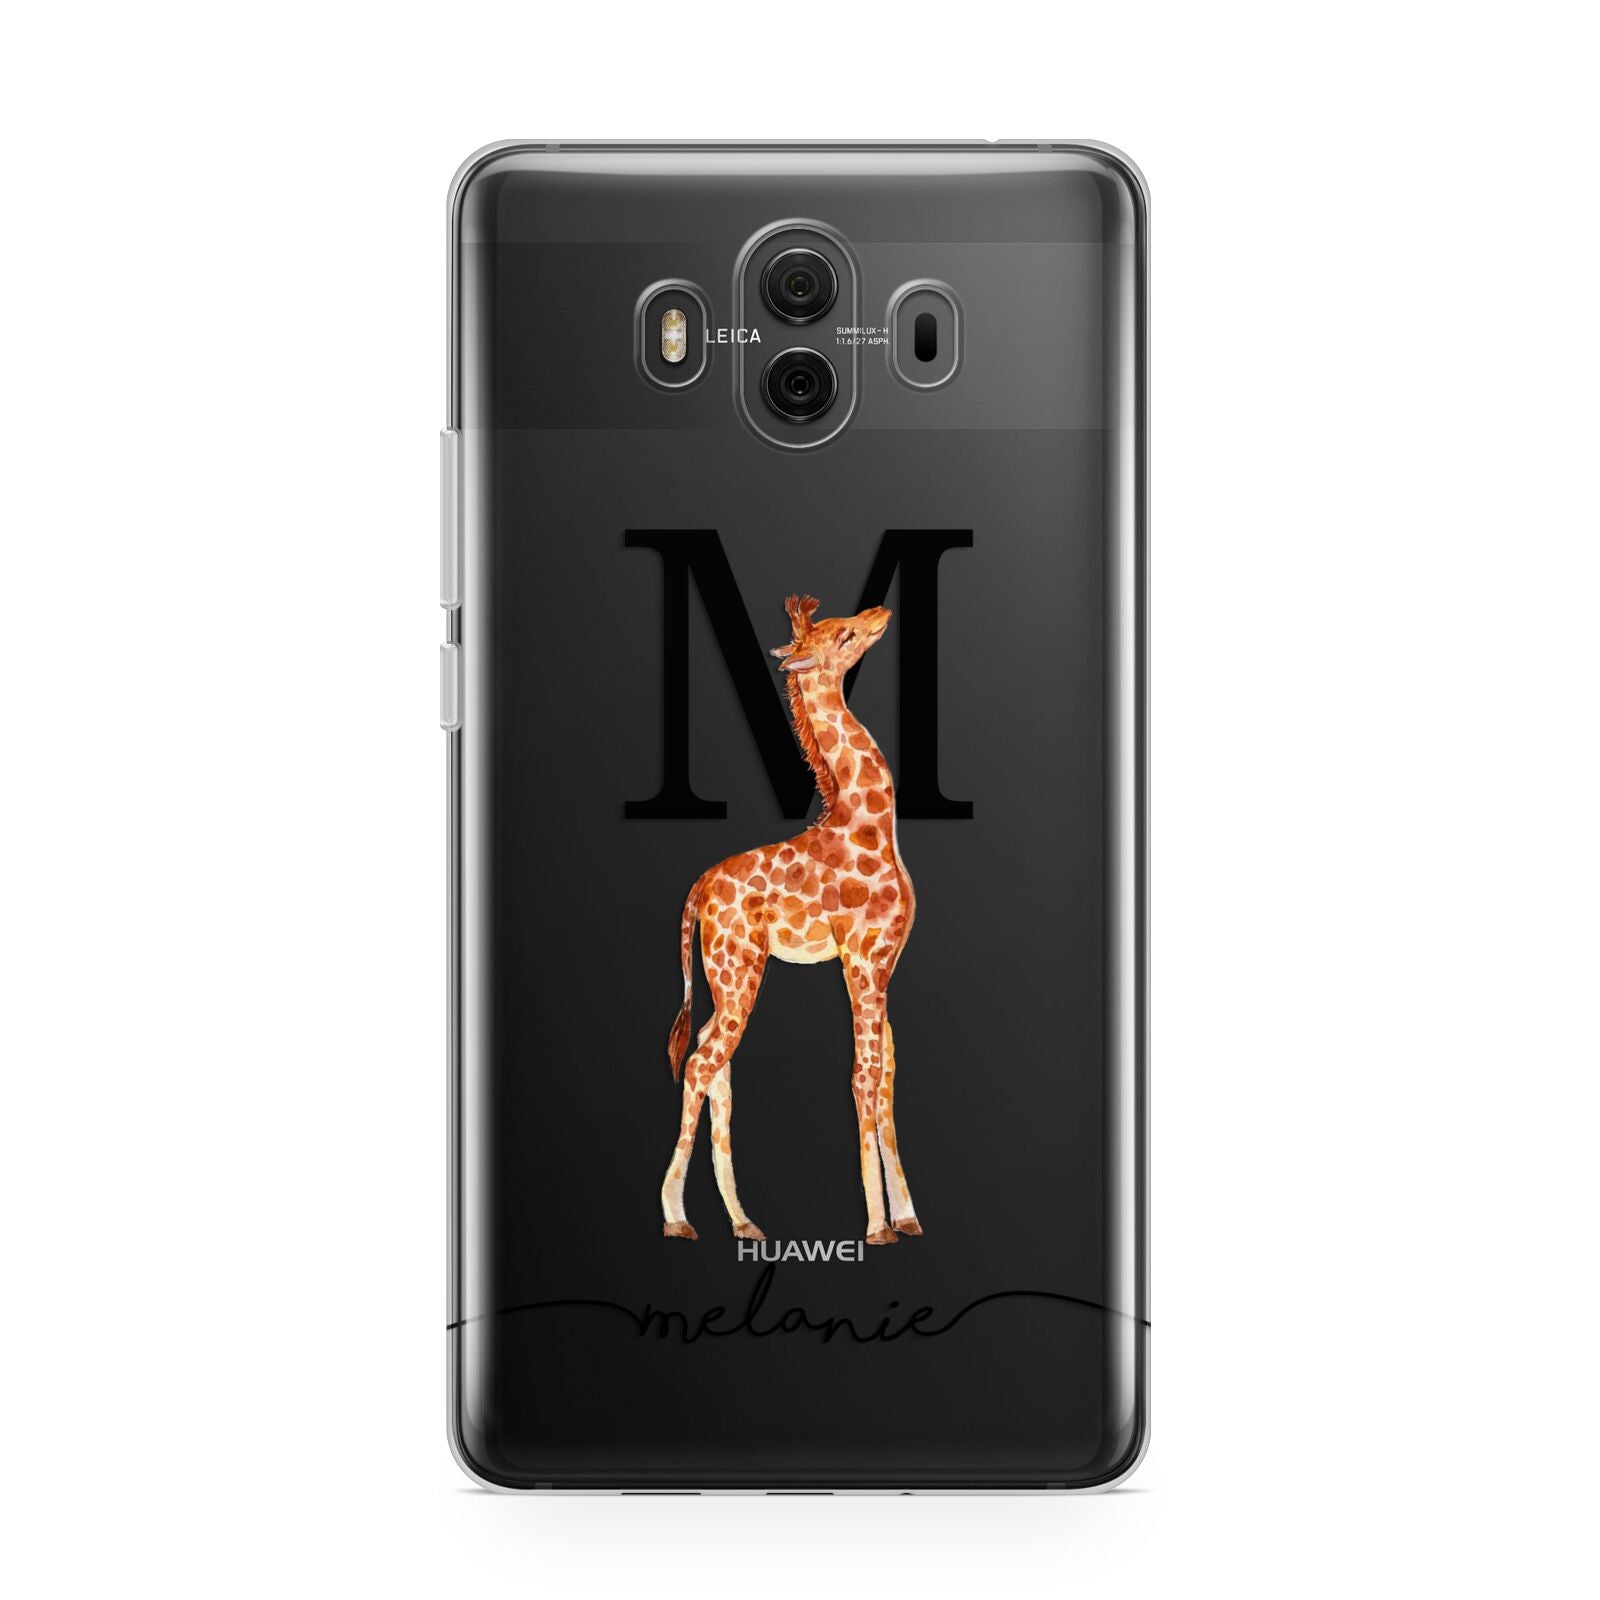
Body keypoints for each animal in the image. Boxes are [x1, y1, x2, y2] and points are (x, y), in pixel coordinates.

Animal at [659, 595, 921, 1247]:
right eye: (844, 635)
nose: (879, 613)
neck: (871, 824)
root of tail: (698, 890)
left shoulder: (885, 965)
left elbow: (888, 1076)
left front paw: (907, 1216)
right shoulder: (861, 957)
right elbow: (863, 1074)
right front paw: (877, 1224)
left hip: (728, 973)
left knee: (714, 1060)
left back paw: (743, 1220)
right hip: (737, 968)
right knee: (701, 1061)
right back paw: (676, 1218)